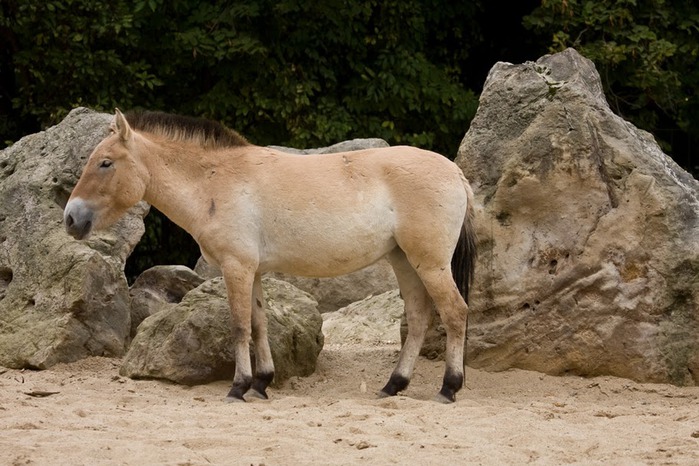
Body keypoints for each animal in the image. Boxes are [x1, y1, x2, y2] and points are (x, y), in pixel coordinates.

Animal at [64, 110, 476, 404]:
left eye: (105, 163)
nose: (70, 218)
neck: (213, 181)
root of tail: (455, 172)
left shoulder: (236, 267)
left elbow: (239, 326)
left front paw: (238, 387)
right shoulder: (254, 271)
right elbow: (259, 324)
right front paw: (261, 383)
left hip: (430, 264)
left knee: (455, 313)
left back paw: (449, 388)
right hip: (404, 260)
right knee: (419, 317)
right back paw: (394, 385)